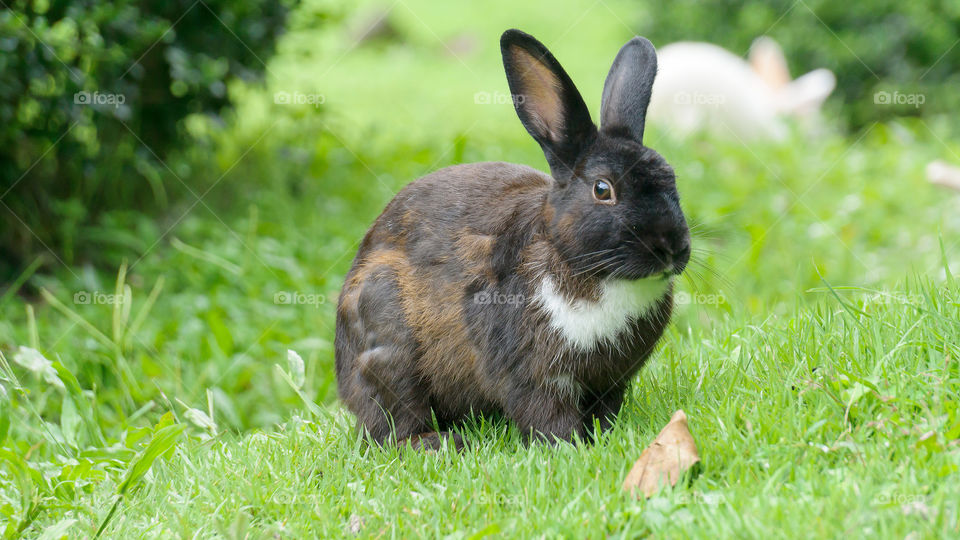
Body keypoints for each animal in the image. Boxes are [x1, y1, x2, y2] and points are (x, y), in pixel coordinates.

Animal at [335, 29, 690, 450]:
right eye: (603, 189)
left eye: (672, 179)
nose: (672, 248)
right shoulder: (532, 374)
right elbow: (545, 413)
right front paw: (567, 446)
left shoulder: (610, 383)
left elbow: (604, 411)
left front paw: (601, 438)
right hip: (387, 344)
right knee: (391, 424)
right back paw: (440, 443)